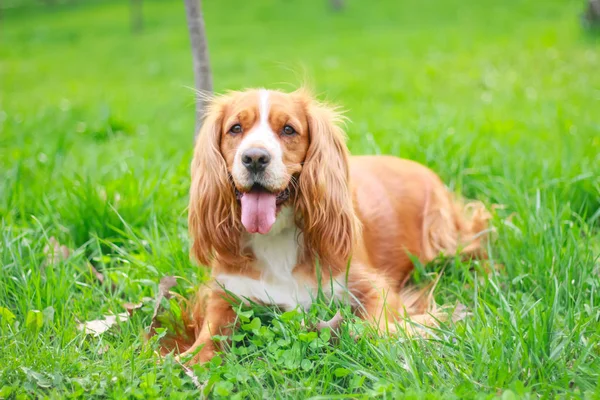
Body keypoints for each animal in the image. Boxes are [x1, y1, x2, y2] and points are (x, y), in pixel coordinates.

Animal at [180, 89, 490, 364]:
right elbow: (207, 336)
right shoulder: (226, 293)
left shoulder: (372, 286)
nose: (255, 158)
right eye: (235, 128)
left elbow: (375, 328)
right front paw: (188, 361)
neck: (276, 235)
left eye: (289, 130)